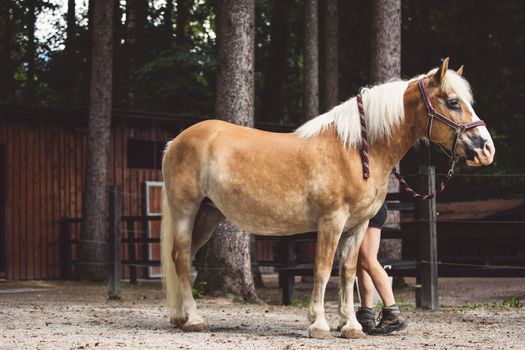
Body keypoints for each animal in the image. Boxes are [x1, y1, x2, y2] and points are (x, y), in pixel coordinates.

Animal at [159, 58, 492, 340]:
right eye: (453, 102)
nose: (486, 148)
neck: (355, 150)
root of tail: (176, 141)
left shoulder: (358, 226)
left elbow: (348, 271)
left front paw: (352, 326)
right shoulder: (331, 221)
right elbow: (322, 268)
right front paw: (318, 324)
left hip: (208, 215)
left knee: (183, 258)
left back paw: (180, 317)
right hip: (186, 211)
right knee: (181, 258)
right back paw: (194, 319)